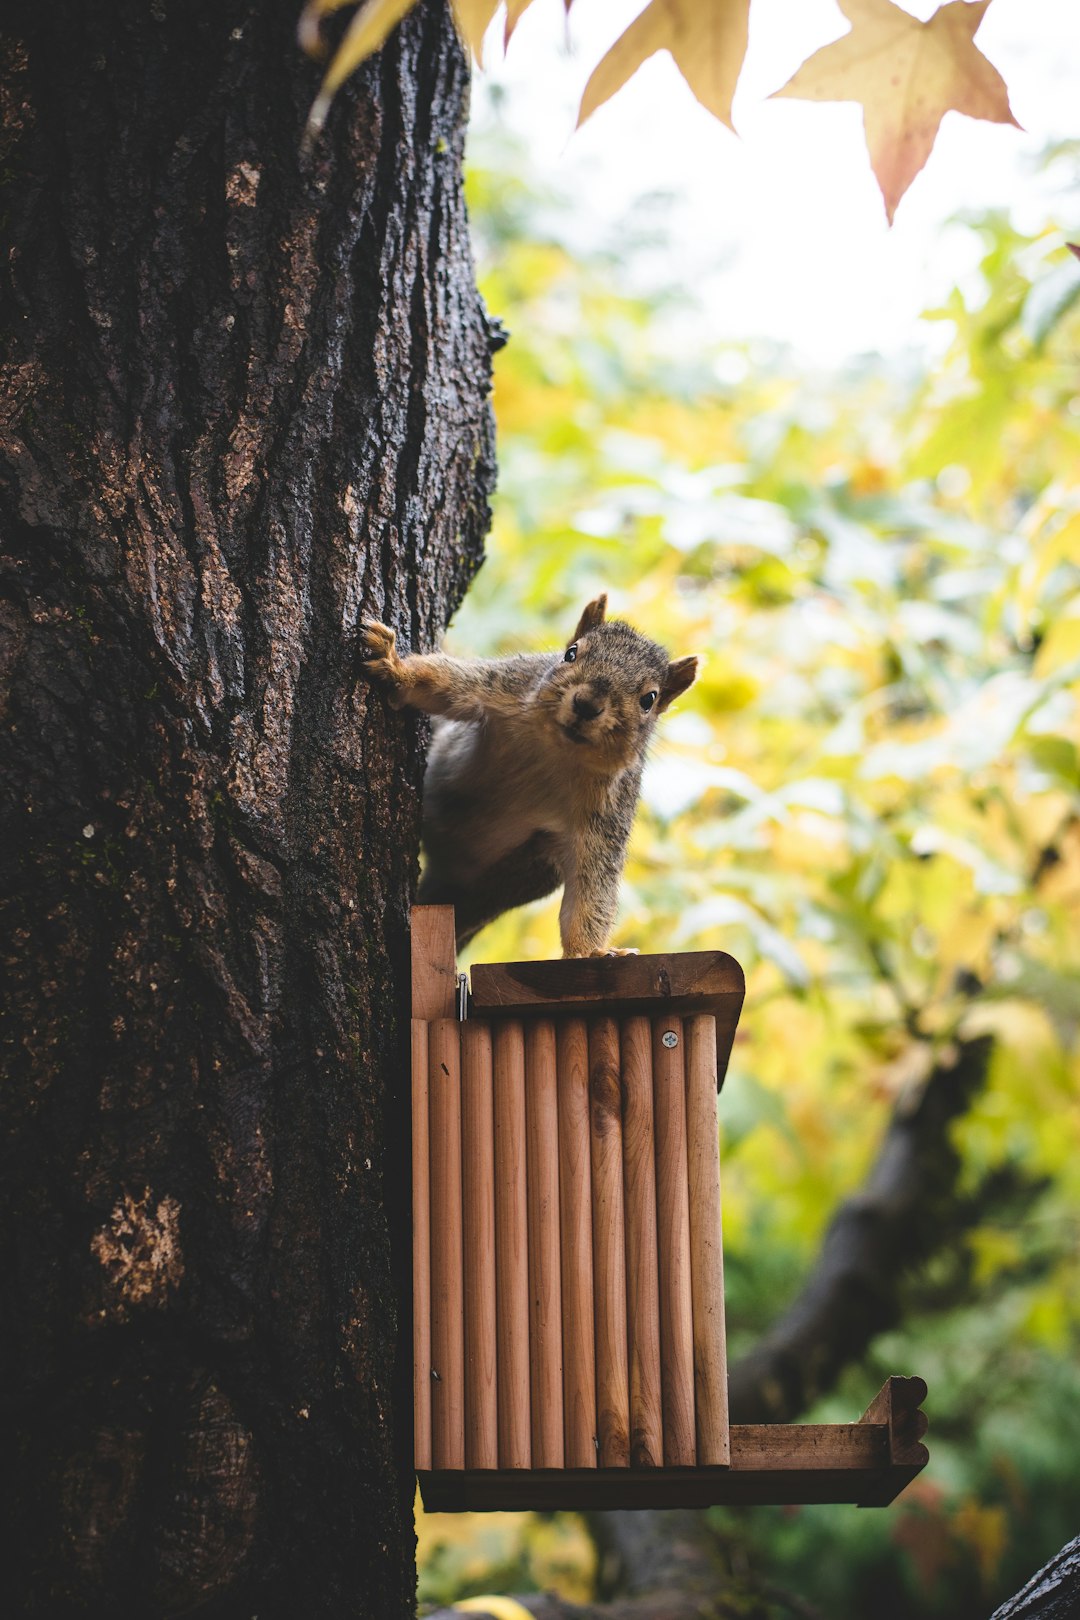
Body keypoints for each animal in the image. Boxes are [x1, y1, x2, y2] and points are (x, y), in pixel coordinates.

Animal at [361, 592, 702, 946]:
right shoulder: (505, 686)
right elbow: (443, 683)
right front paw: (394, 666)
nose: (587, 704)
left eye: (649, 699)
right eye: (570, 653)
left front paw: (591, 951)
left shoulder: (607, 818)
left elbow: (592, 889)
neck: (556, 751)